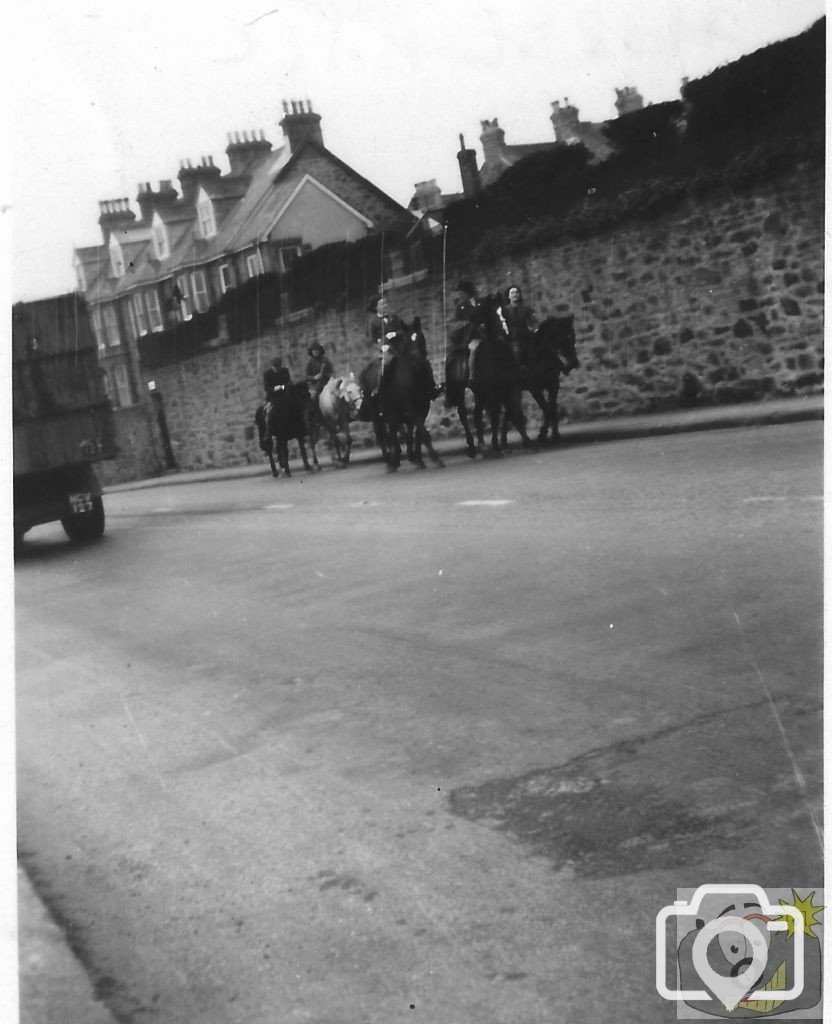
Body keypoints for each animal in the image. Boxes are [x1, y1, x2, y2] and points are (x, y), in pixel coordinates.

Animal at [504, 313, 581, 446]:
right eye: (560, 338)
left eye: (573, 337)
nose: (573, 363)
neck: (542, 356)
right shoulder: (535, 389)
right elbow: (547, 410)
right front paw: (542, 435)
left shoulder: (553, 386)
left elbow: (552, 410)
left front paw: (555, 435)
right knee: (512, 413)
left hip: (514, 391)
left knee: (509, 413)